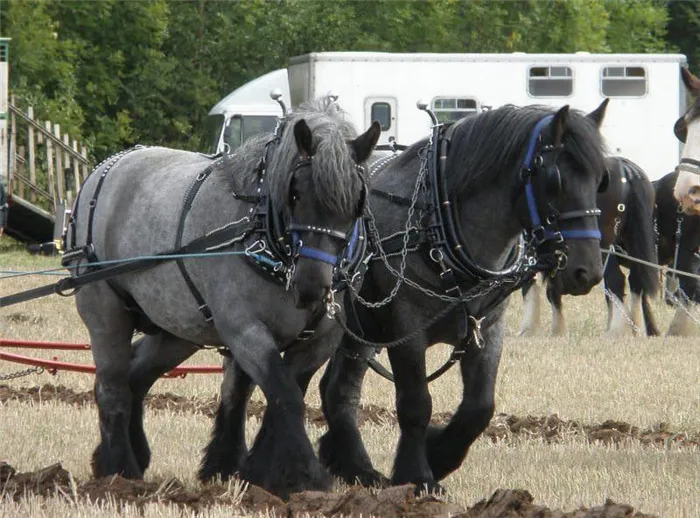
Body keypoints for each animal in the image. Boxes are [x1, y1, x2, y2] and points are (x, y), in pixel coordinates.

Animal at [64, 96, 382, 500]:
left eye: (357, 200)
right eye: (295, 193)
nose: (312, 287)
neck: (262, 230)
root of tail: (104, 170)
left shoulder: (319, 340)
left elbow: (283, 395)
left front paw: (262, 472)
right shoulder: (244, 330)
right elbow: (285, 395)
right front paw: (309, 477)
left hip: (177, 330)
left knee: (137, 376)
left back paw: (122, 457)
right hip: (105, 311)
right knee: (112, 387)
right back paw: (121, 472)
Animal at [520, 156, 660, 340]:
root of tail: (628, 170)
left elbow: (536, 286)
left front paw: (537, 329)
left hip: (605, 249)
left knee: (615, 280)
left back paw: (615, 330)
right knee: (636, 281)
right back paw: (634, 328)